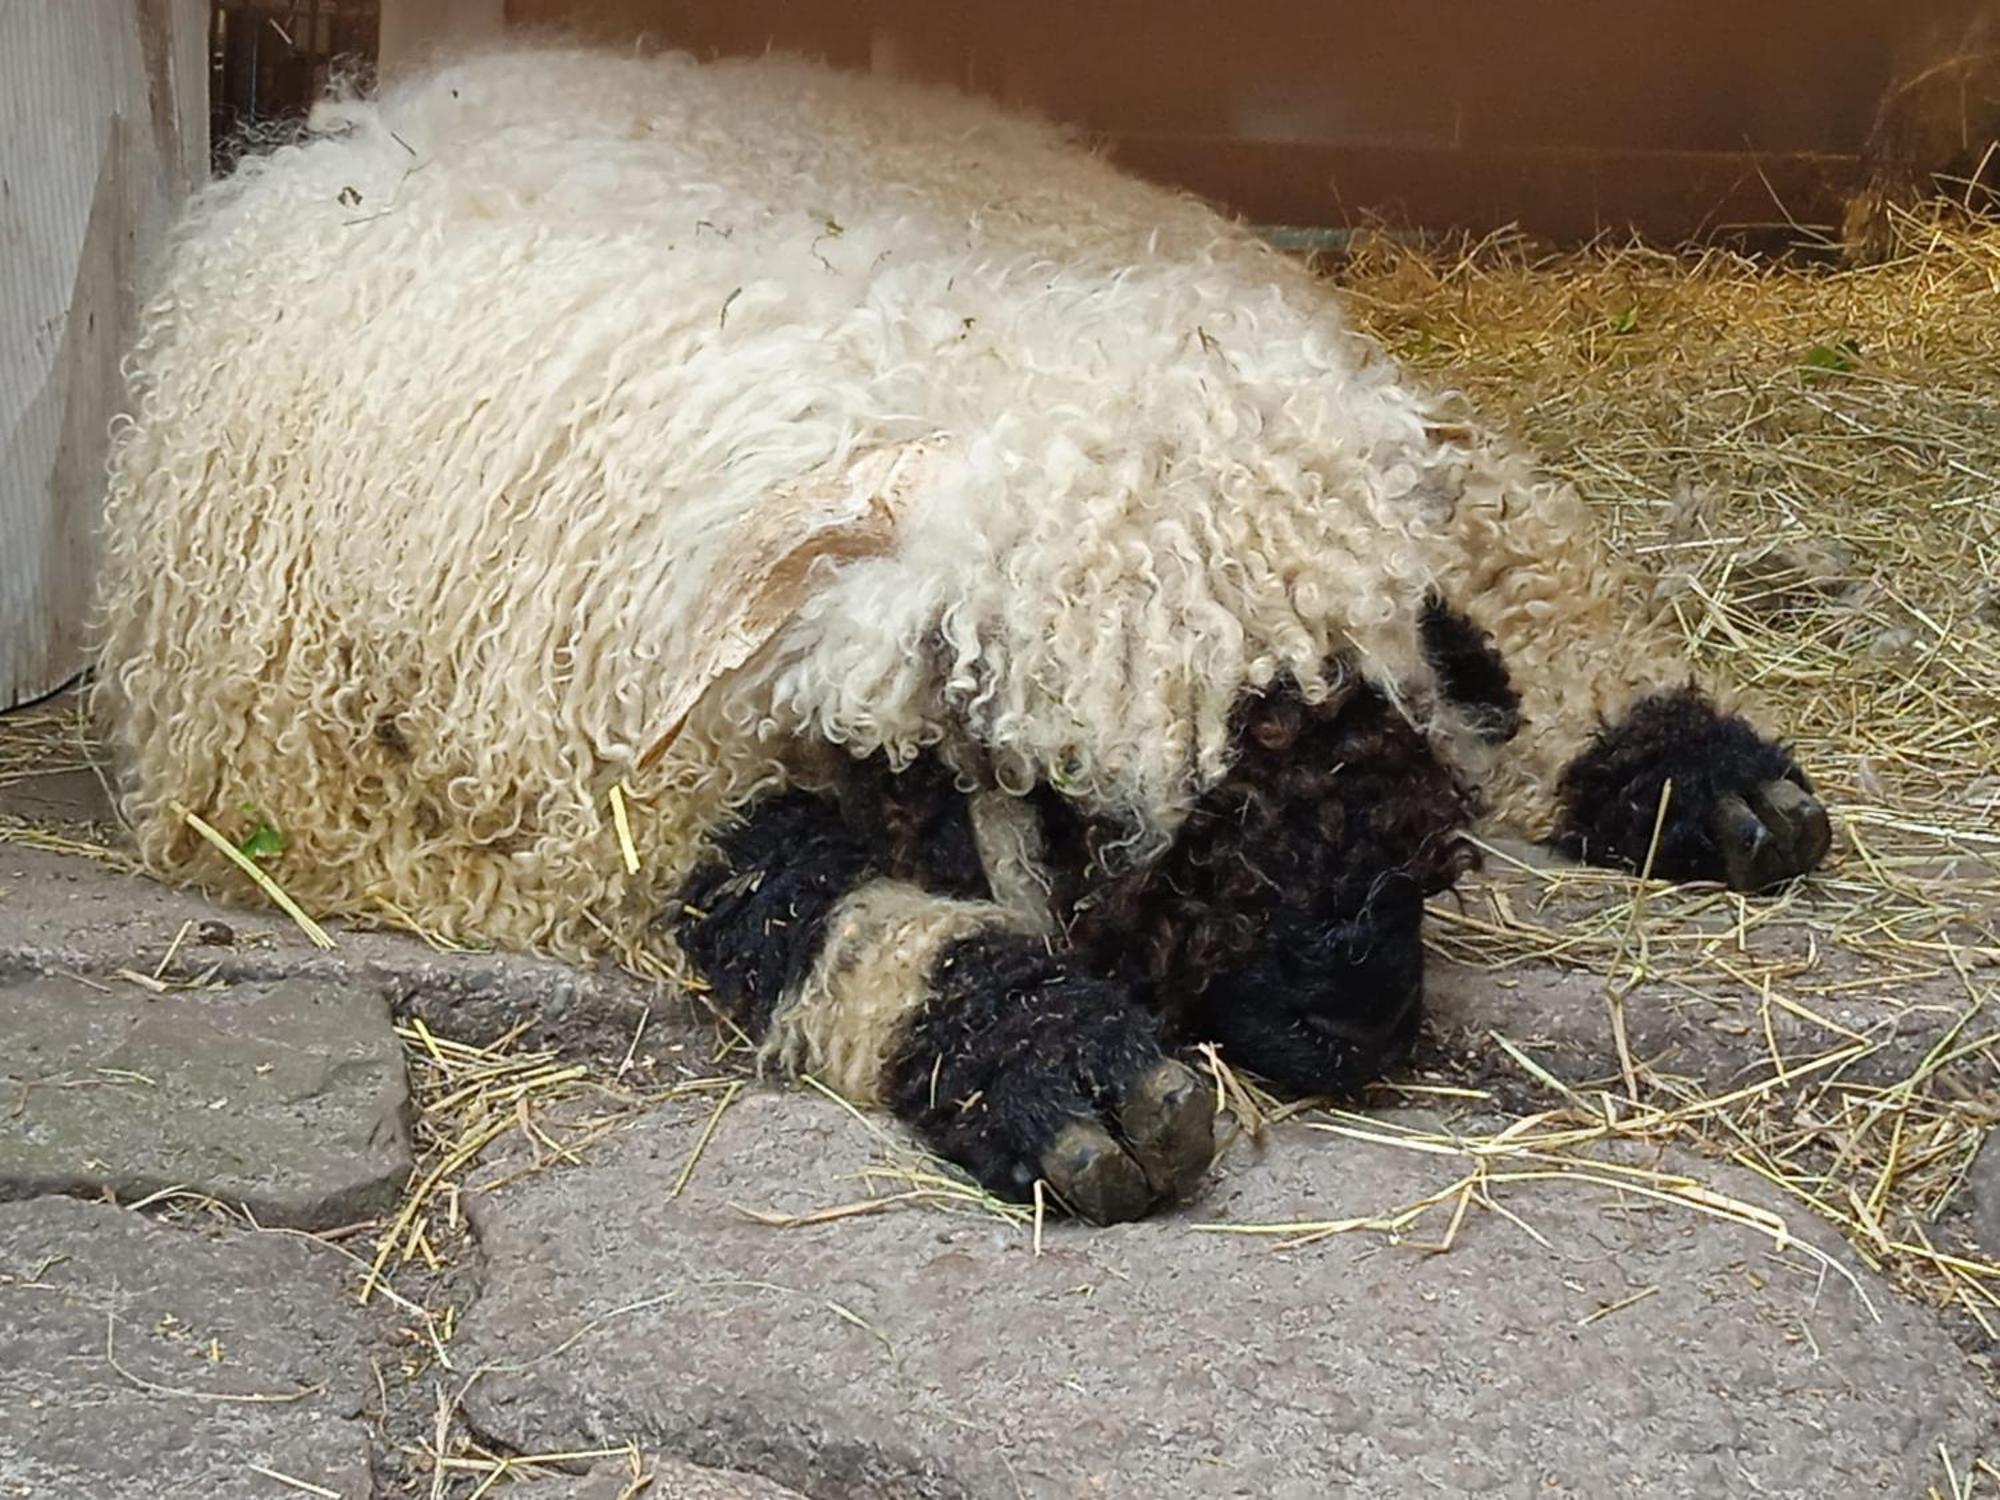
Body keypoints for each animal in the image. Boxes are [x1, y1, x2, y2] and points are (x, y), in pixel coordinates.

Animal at [94, 47, 1832, 1224]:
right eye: (1080, 806)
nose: (1360, 1024)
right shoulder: (480, 800)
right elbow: (773, 884)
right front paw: (1059, 1071)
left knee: (1513, 537)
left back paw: (1708, 778)